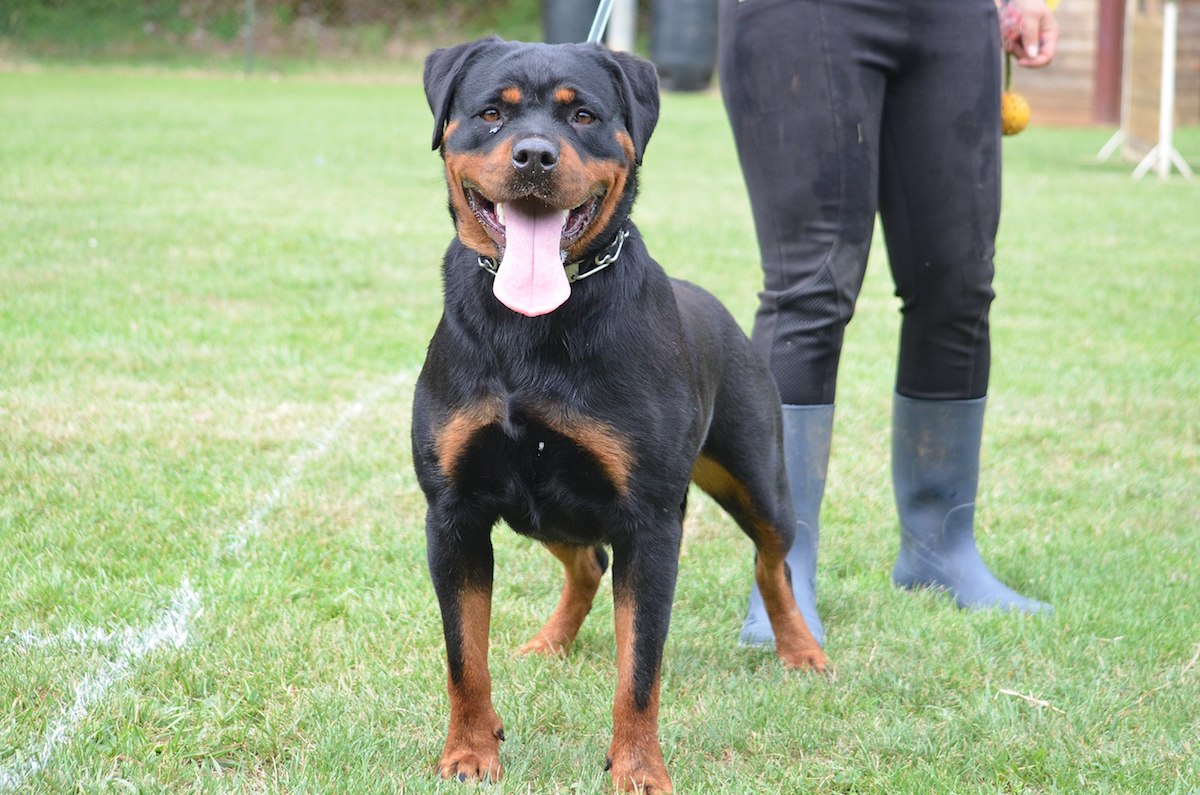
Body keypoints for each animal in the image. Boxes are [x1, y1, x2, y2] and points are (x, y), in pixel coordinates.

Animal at [412, 39, 825, 795]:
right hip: (538, 509)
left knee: (773, 559)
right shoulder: (454, 512)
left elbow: (640, 669)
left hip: (757, 476)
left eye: (583, 115)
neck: (534, 324)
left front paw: (638, 768)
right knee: (586, 563)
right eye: (490, 114)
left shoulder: (651, 521)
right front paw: (471, 750)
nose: (535, 155)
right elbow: (464, 655)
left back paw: (800, 648)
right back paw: (550, 641)